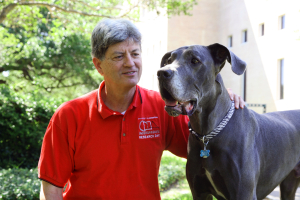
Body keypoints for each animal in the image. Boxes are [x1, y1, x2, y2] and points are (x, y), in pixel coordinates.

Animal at [157, 43, 300, 199]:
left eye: (195, 61)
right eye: (168, 61)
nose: (161, 73)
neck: (207, 133)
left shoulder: (244, 193)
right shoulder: (199, 192)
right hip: (289, 185)